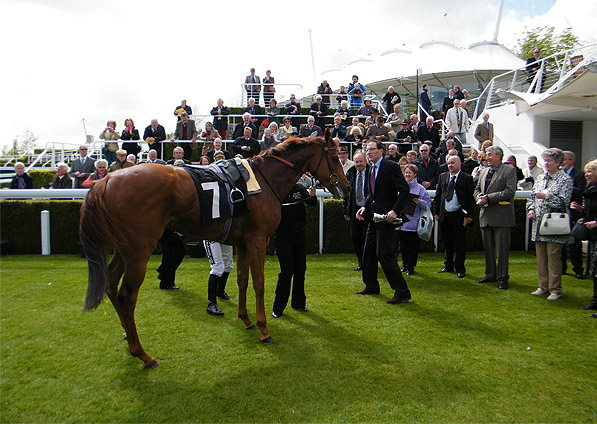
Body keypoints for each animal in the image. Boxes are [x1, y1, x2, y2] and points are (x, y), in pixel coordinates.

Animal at [79, 132, 350, 368]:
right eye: (334, 157)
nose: (346, 187)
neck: (265, 180)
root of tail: (106, 180)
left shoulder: (242, 242)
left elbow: (241, 280)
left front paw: (246, 320)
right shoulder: (258, 240)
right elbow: (259, 283)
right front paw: (264, 329)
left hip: (124, 249)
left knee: (111, 283)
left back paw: (127, 336)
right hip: (139, 250)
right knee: (127, 295)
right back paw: (143, 354)